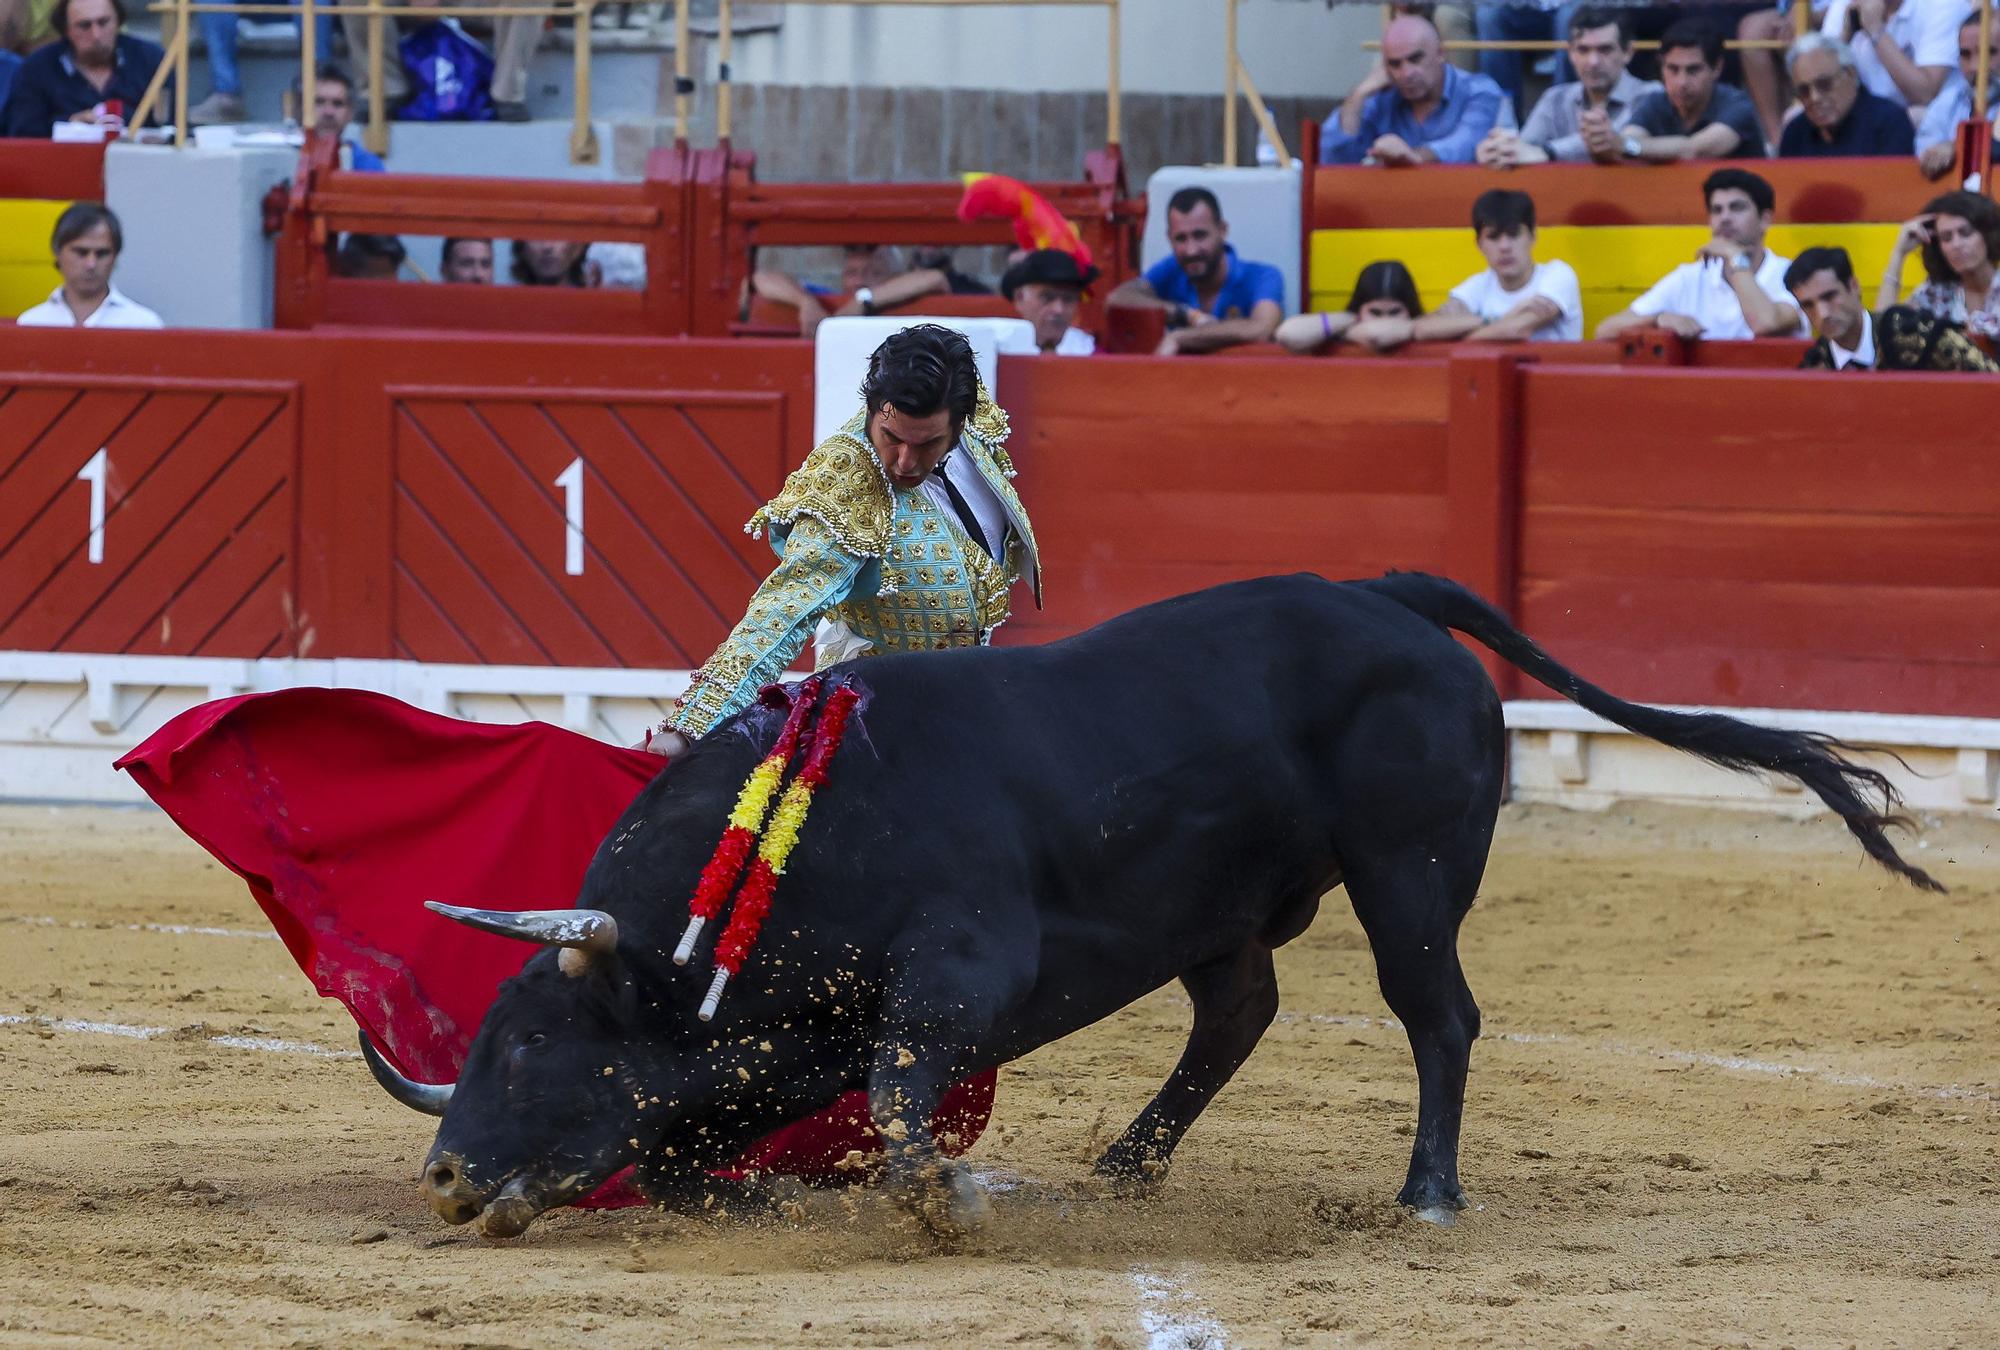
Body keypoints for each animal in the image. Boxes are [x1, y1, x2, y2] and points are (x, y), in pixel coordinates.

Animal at [356, 572, 1936, 1232]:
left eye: (527, 1049)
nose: (443, 1176)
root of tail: (1385, 595)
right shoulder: (799, 1021)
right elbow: (731, 1121)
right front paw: (751, 1185)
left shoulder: (958, 967)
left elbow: (901, 1084)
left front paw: (934, 1197)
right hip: (1228, 903)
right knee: (1238, 1009)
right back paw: (1126, 1163)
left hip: (1409, 872)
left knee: (1437, 1014)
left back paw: (1427, 1192)